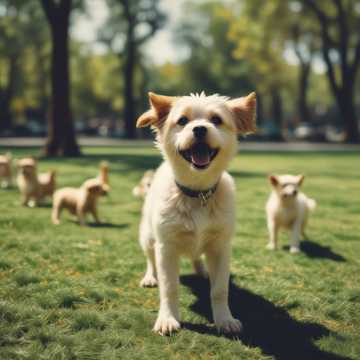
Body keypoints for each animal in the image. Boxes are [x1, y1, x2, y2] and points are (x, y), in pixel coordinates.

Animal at [135, 91, 256, 336]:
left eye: (216, 120)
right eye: (182, 120)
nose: (199, 129)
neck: (197, 193)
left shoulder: (221, 247)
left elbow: (219, 289)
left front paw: (224, 319)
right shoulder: (166, 247)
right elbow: (169, 287)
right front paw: (168, 318)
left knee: (197, 256)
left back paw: (202, 270)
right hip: (148, 237)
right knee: (150, 259)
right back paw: (150, 277)